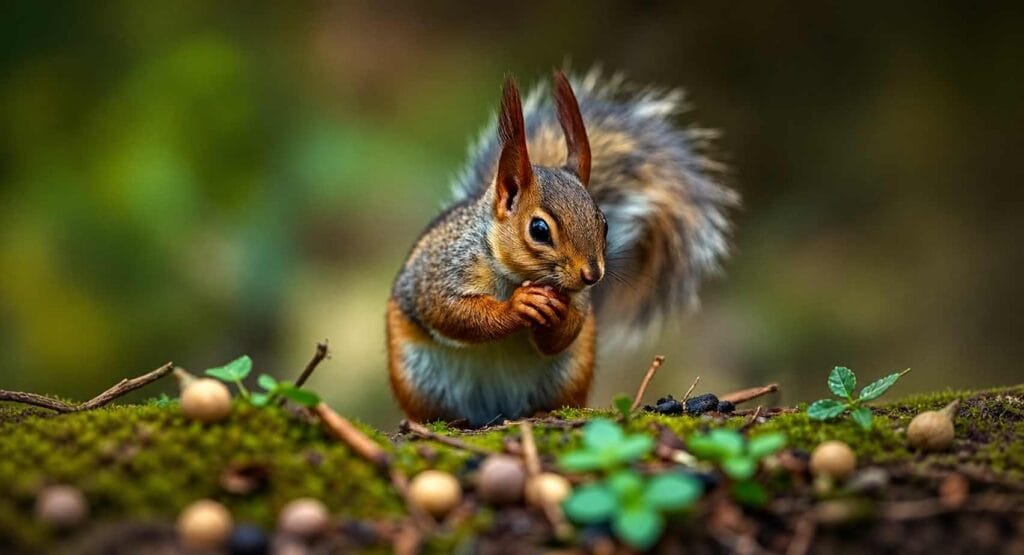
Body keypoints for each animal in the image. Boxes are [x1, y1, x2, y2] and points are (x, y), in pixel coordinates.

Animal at [387, 69, 738, 426]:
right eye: (539, 230)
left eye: (604, 223)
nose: (592, 275)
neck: (512, 273)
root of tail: (494, 413)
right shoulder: (444, 271)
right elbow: (451, 312)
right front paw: (518, 306)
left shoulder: (579, 301)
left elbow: (562, 335)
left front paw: (554, 314)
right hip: (416, 377)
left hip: (569, 373)